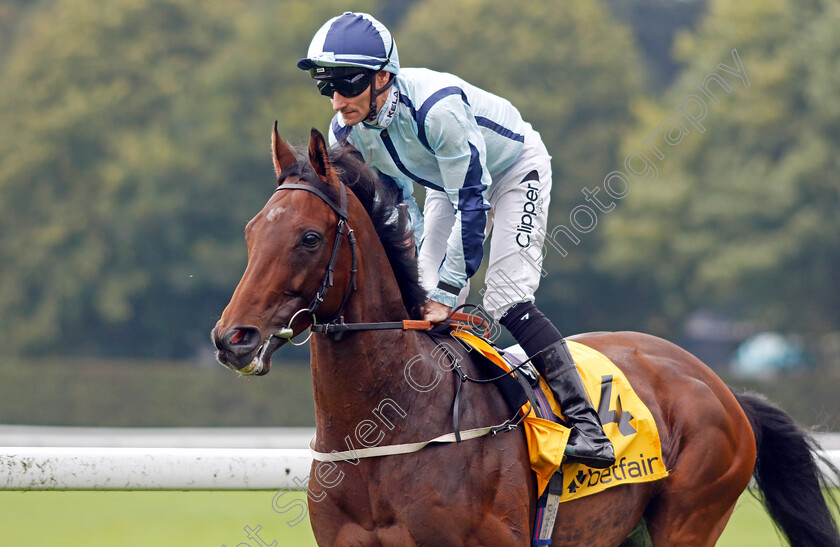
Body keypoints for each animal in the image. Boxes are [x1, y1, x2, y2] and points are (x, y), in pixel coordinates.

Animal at [212, 126, 840, 544]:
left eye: (309, 238)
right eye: (249, 231)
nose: (231, 338)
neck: (385, 430)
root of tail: (724, 390)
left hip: (690, 518)